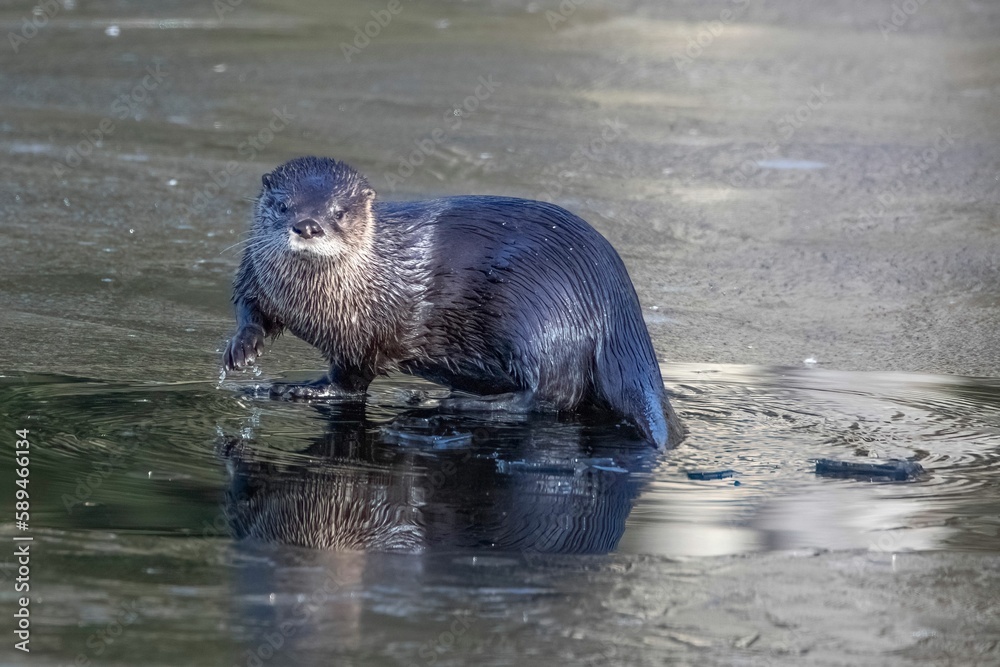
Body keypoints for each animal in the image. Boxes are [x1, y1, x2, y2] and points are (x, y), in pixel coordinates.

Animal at [223, 156, 682, 448]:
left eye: (339, 211)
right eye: (283, 205)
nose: (307, 225)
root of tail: (615, 301)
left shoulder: (373, 333)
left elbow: (350, 380)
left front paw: (301, 389)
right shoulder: (254, 274)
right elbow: (251, 308)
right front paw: (243, 349)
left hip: (538, 316)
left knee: (553, 394)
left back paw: (453, 401)